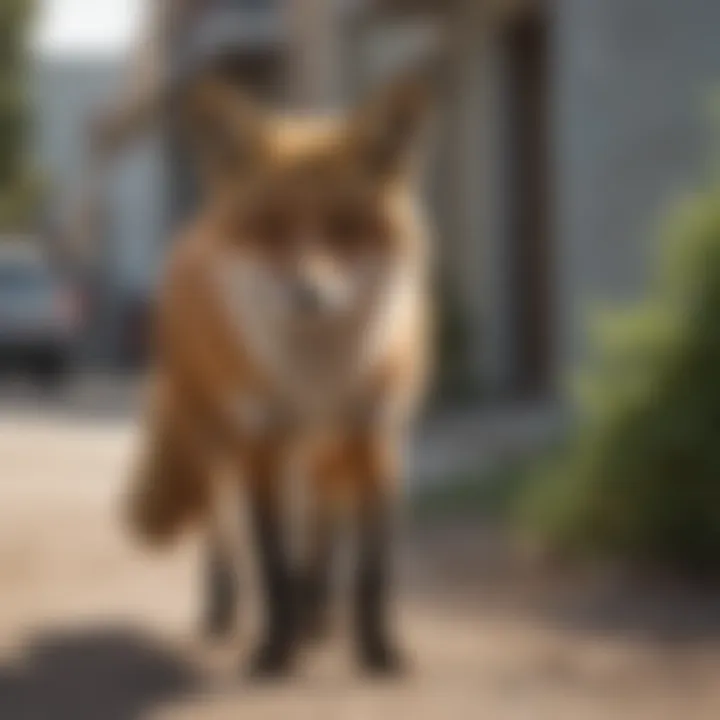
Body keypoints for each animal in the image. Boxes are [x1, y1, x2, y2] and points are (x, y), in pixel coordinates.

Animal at [125, 70, 434, 676]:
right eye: (269, 229)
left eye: (346, 228)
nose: (309, 293)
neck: (317, 380)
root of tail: (198, 223)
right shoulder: (262, 440)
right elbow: (271, 563)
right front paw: (274, 650)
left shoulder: (375, 434)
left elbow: (373, 569)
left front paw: (378, 649)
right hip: (214, 436)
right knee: (220, 527)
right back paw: (225, 608)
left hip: (324, 450)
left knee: (320, 525)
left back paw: (318, 614)